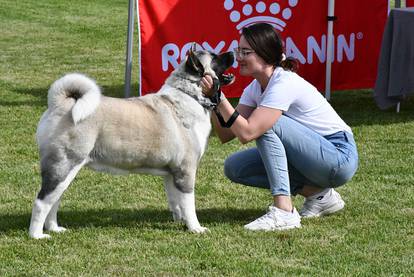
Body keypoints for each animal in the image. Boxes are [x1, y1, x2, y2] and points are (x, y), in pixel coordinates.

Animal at [29, 47, 234, 237]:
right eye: (214, 57)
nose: (233, 52)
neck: (190, 95)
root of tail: (60, 104)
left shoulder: (172, 173)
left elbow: (176, 202)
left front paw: (180, 221)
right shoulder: (186, 170)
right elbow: (189, 203)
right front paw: (195, 228)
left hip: (66, 172)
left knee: (54, 201)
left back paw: (54, 228)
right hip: (64, 165)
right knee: (42, 201)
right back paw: (37, 235)